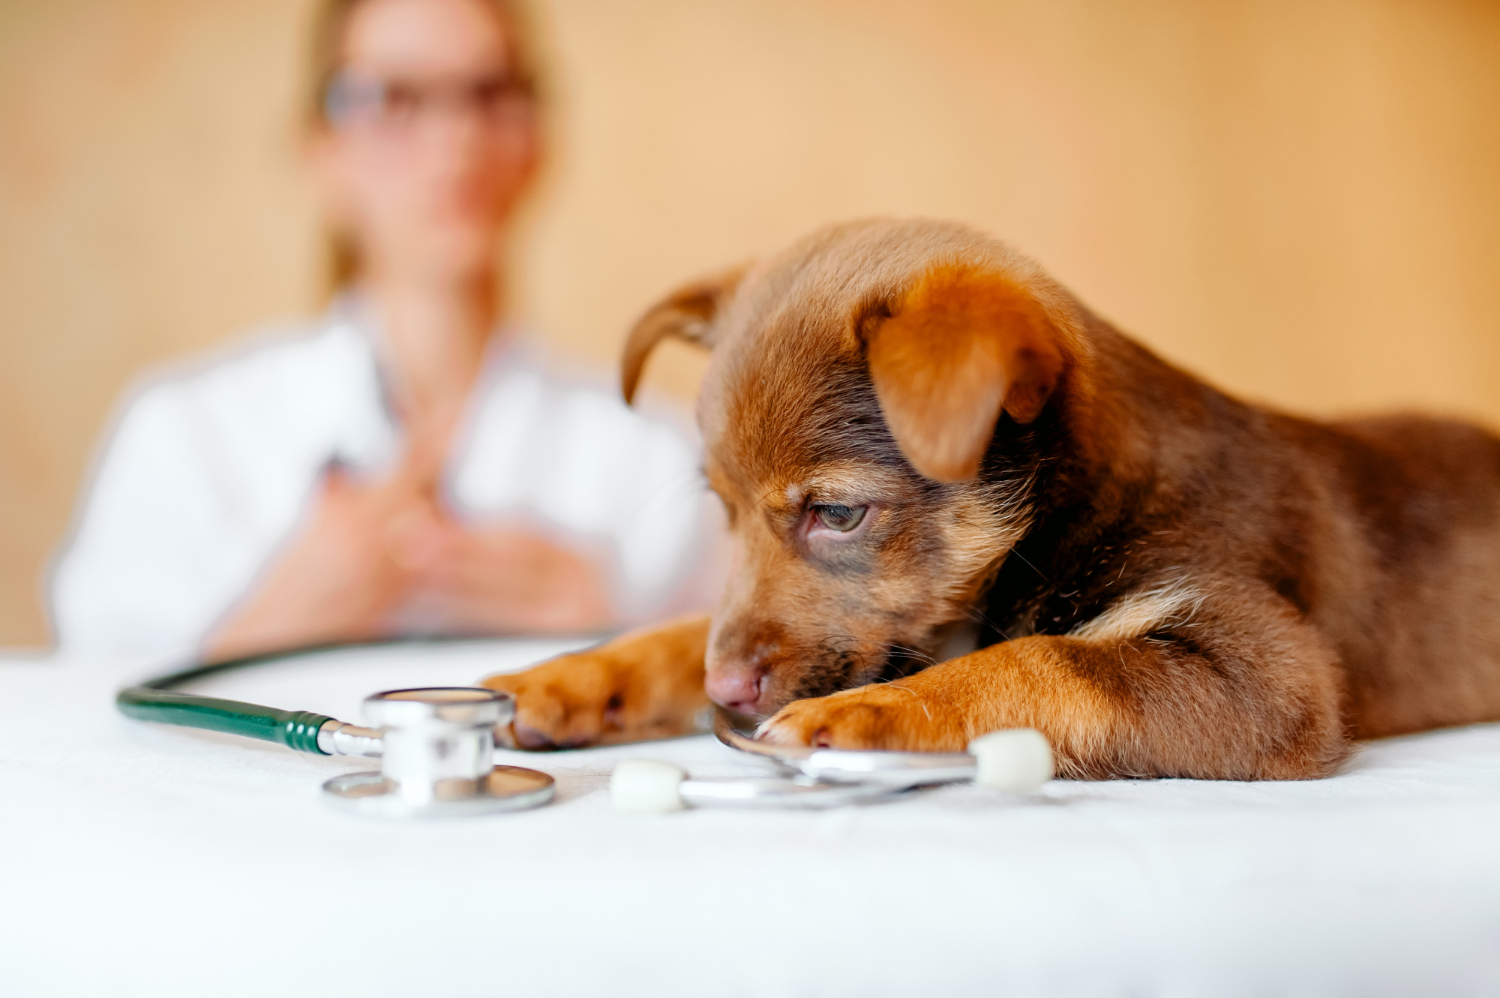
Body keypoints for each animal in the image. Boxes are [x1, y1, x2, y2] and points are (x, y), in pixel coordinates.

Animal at [483, 217, 1500, 780]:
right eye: (721, 512)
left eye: (836, 513)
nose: (725, 695)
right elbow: (679, 628)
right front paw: (570, 677)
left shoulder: (1265, 668)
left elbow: (1042, 661)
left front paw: (876, 715)